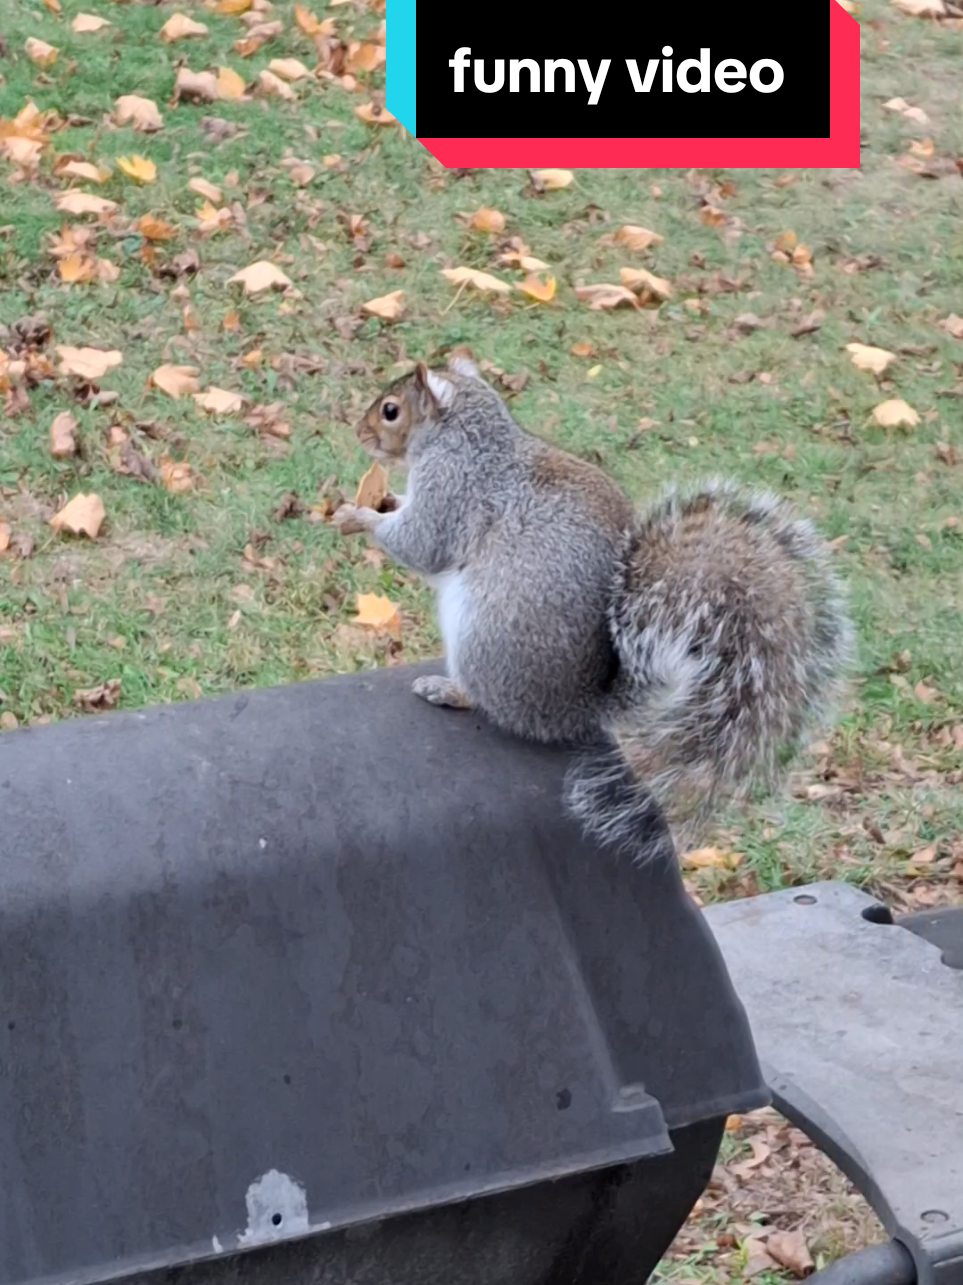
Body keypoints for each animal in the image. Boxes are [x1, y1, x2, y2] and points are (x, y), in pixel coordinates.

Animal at [333, 350, 854, 864]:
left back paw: (447, 690)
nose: (357, 432)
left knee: (492, 704)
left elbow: (422, 543)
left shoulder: (453, 490)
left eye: (390, 410)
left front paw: (359, 516)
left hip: (483, 640)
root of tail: (583, 706)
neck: (466, 433)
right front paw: (383, 498)